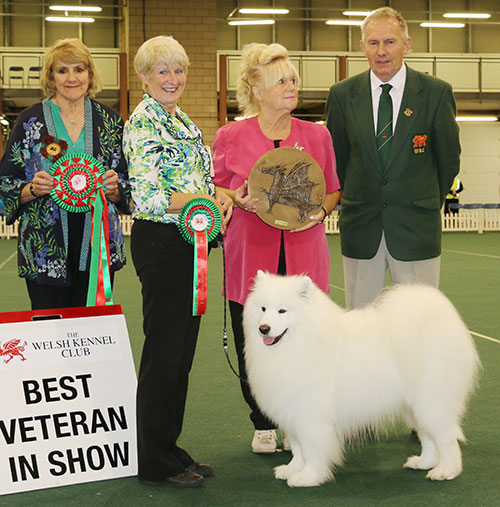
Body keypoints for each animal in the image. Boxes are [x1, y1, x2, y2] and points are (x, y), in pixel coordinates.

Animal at [244, 272, 478, 490]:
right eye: (263, 308)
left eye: (282, 311)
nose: (263, 328)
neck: (301, 343)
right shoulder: (292, 412)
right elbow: (298, 450)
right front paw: (292, 469)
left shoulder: (311, 417)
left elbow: (311, 451)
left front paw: (308, 477)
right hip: (413, 406)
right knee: (427, 435)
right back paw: (424, 462)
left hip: (431, 401)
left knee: (446, 438)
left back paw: (446, 470)